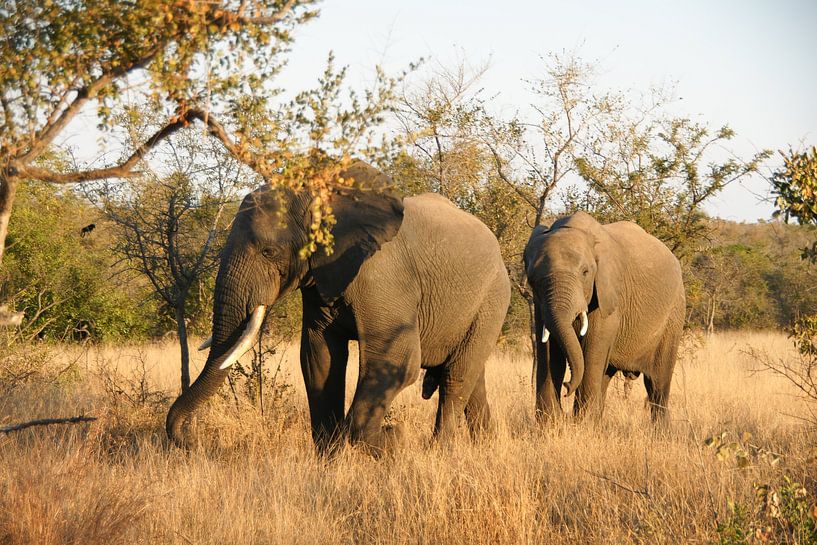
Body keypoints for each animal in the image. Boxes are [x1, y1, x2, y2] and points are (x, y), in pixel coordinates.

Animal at [166, 160, 510, 450]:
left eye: (268, 252)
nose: (191, 440)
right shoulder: (319, 277)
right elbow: (319, 357)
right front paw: (330, 460)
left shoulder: (383, 274)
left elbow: (397, 359)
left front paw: (394, 440)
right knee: (473, 380)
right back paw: (485, 448)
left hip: (492, 299)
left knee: (456, 378)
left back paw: (439, 451)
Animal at [524, 211, 684, 420]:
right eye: (532, 279)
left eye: (585, 272)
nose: (567, 387)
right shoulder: (540, 304)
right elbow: (548, 350)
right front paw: (551, 423)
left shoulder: (608, 293)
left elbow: (592, 350)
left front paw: (580, 425)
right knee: (606, 376)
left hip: (674, 314)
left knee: (657, 383)